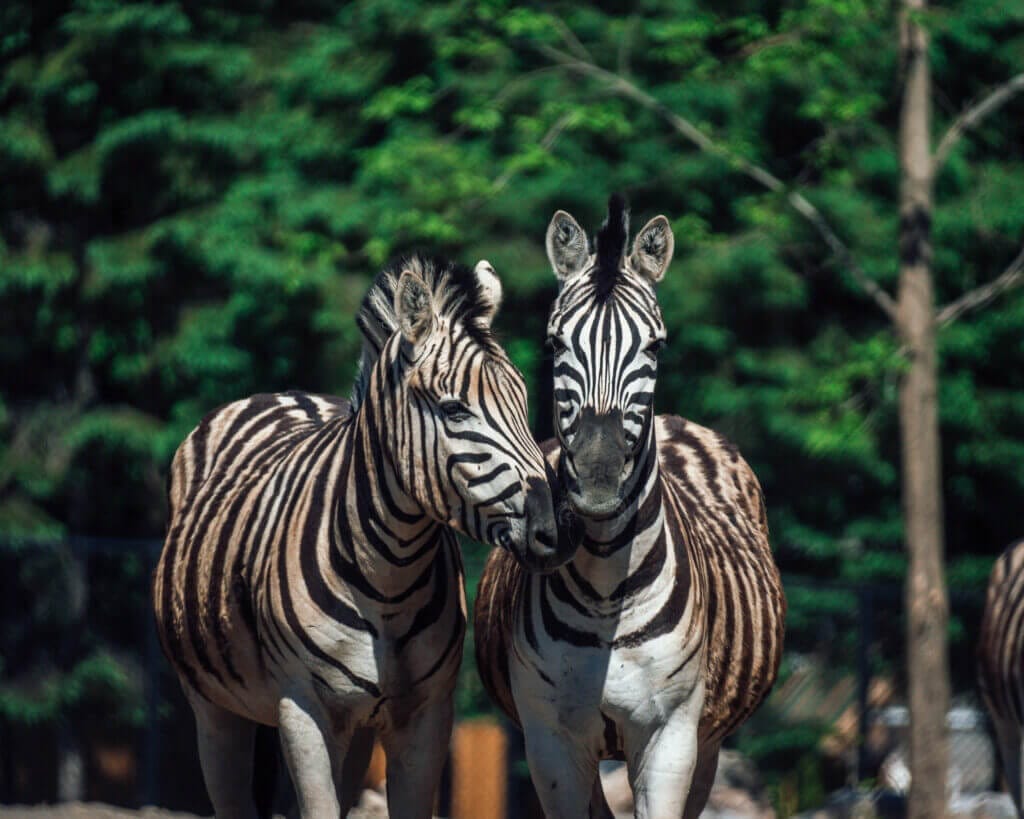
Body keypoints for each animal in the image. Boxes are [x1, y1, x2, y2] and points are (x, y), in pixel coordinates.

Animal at [153, 256, 576, 819]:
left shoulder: (425, 715)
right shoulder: (303, 710)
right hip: (214, 708)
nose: (559, 531)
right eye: (454, 410)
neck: (389, 578)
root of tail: (284, 392)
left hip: (353, 733)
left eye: (522, 403)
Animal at [474, 196, 786, 818]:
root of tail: (674, 421)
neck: (603, 591)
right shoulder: (551, 742)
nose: (597, 481)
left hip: (707, 743)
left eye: (656, 345)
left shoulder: (671, 739)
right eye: (554, 343)